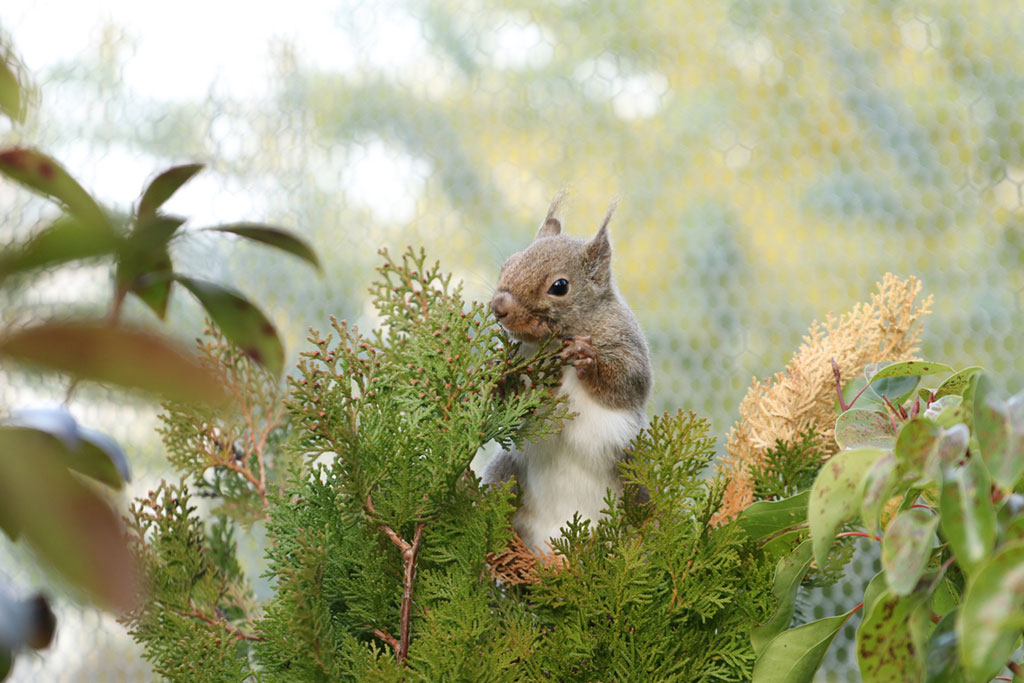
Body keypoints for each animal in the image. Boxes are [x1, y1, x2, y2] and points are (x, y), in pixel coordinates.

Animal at [482, 195, 652, 553]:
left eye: (559, 286)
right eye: (508, 263)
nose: (498, 306)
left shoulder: (628, 346)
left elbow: (628, 383)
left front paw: (590, 361)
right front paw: (500, 379)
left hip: (634, 477)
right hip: (506, 472)